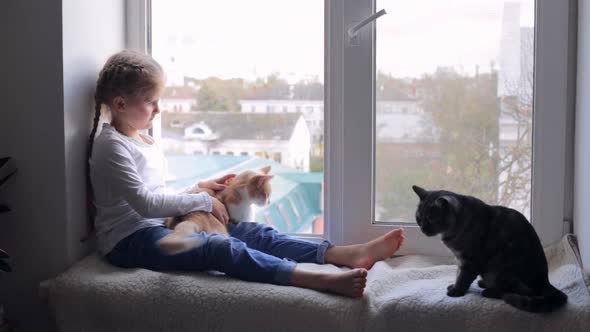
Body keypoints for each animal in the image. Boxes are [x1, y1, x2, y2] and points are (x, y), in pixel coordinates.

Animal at [412, 185, 568, 312]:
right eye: (418, 218)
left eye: (431, 218)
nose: (422, 229)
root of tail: (544, 282)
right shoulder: (460, 259)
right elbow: (458, 273)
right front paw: (454, 286)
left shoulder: (469, 260)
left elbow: (462, 277)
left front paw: (456, 291)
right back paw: (483, 283)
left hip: (504, 271)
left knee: (512, 291)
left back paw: (489, 291)